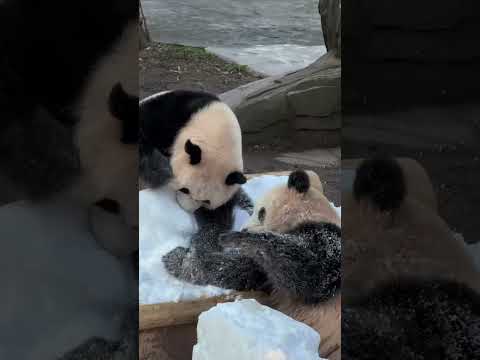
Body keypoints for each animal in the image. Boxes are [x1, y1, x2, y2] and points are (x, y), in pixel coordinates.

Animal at [163, 169, 344, 360]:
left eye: (261, 212)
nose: (244, 229)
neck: (311, 215)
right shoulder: (266, 275)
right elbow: (240, 271)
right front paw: (215, 214)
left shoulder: (328, 245)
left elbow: (308, 271)